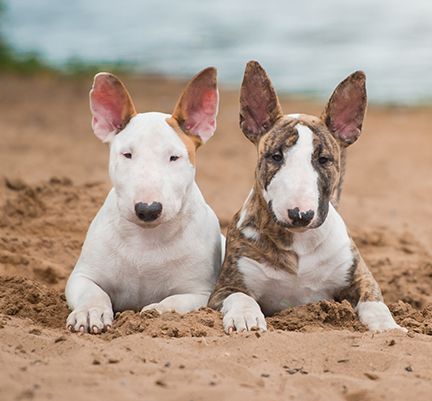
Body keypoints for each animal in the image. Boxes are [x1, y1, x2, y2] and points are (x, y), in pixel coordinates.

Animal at [66, 67, 223, 332]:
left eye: (174, 157)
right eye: (127, 154)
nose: (148, 209)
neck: (146, 241)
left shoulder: (201, 292)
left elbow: (174, 301)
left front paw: (156, 310)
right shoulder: (81, 277)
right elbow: (93, 292)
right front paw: (89, 312)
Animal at [208, 61, 404, 332]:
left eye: (323, 159)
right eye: (275, 156)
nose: (300, 215)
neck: (299, 243)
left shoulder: (360, 276)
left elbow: (374, 301)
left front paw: (388, 327)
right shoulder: (224, 288)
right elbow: (240, 296)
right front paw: (245, 318)